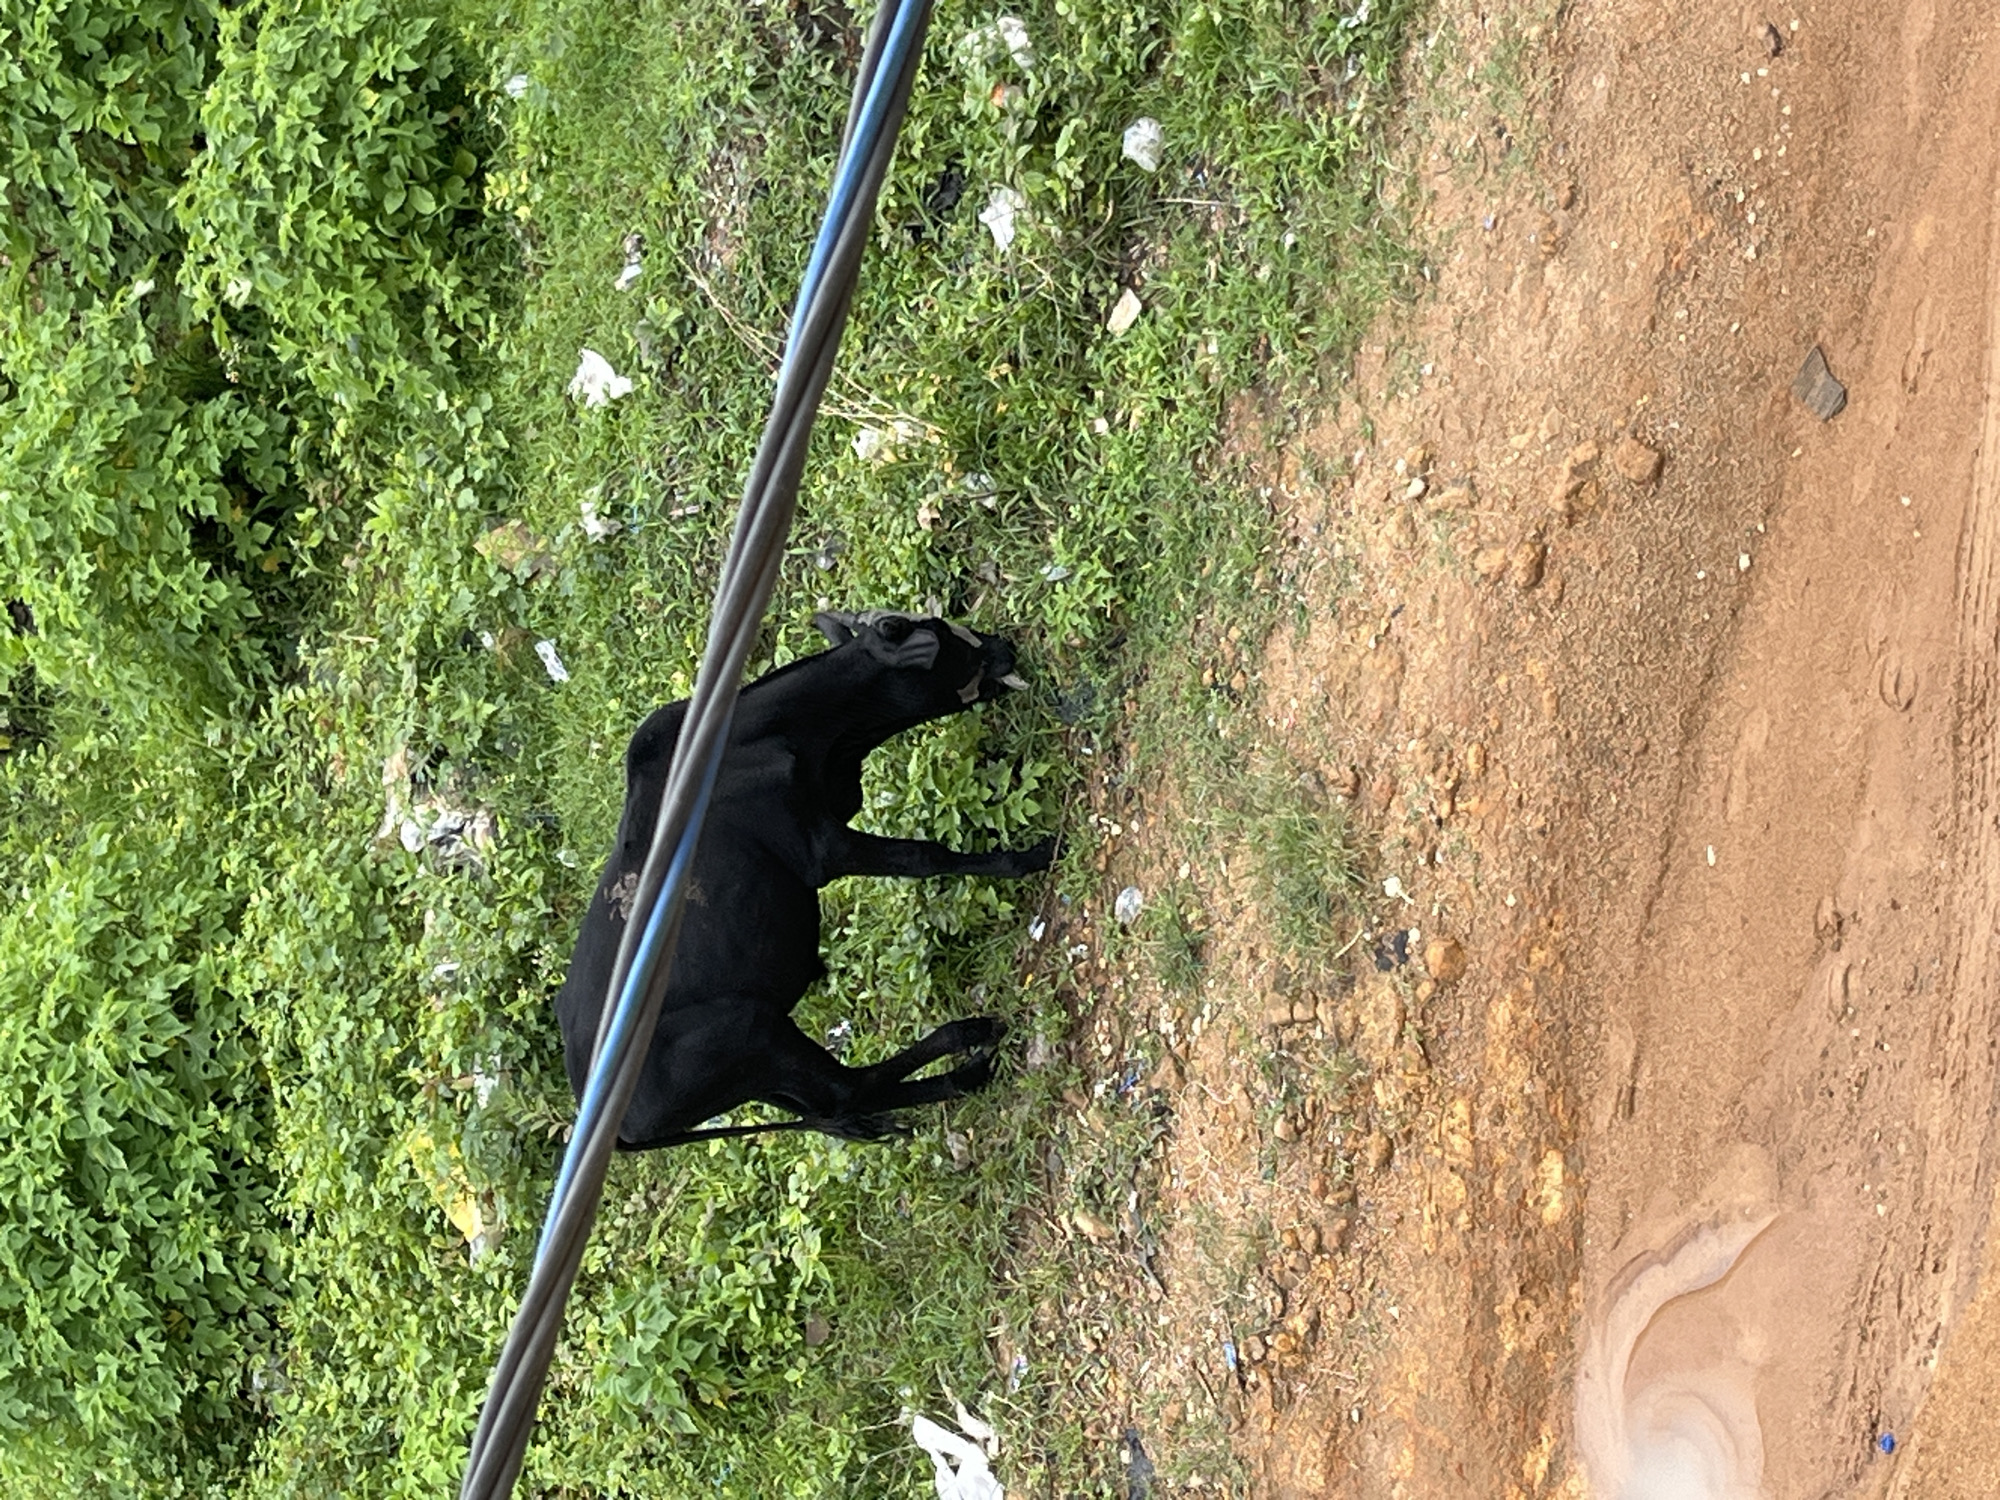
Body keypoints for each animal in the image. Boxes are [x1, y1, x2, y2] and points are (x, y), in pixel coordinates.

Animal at [556, 610, 1055, 1149]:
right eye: (944, 639)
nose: (1004, 646)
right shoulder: (821, 848)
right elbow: (923, 854)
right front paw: (1032, 856)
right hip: (754, 1033)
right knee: (848, 1091)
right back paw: (968, 1047)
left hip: (765, 1074)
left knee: (837, 1104)